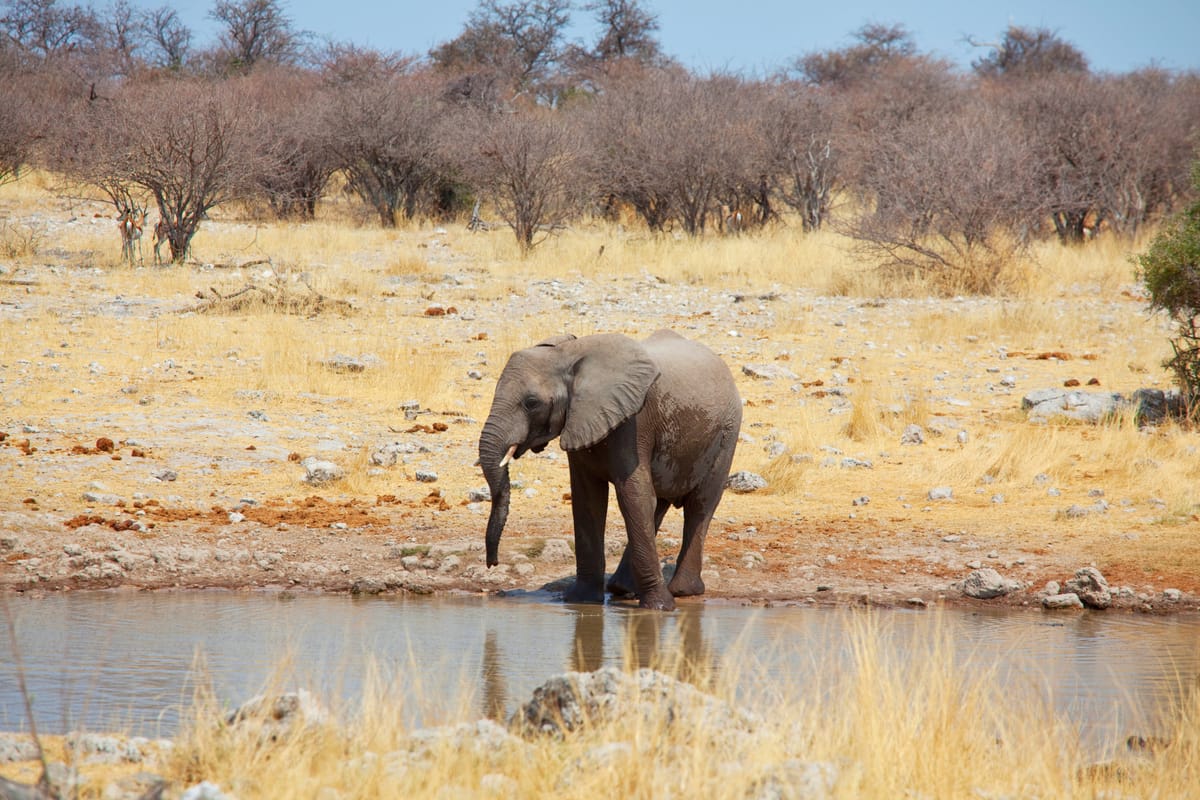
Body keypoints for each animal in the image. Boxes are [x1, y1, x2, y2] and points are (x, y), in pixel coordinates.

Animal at [475, 328, 739, 609]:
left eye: (531, 403)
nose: (493, 563)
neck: (568, 355)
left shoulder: (634, 423)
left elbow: (634, 496)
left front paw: (659, 608)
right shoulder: (580, 420)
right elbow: (588, 501)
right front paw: (580, 602)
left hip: (726, 436)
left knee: (699, 505)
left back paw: (682, 590)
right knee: (658, 505)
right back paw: (622, 588)